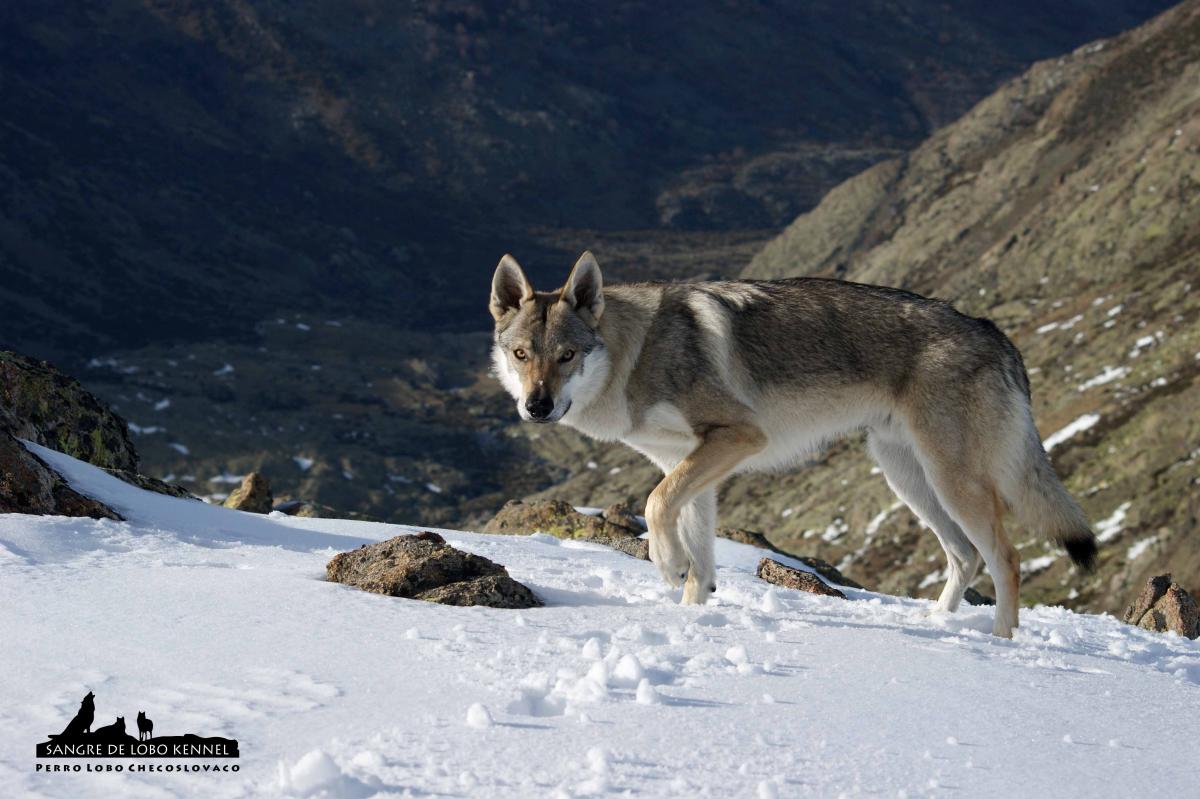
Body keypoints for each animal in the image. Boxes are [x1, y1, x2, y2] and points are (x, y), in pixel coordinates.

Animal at [487, 249, 1099, 633]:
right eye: (522, 355)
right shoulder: (686, 462)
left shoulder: (736, 438)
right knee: (965, 556)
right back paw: (937, 627)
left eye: (567, 355)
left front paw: (667, 566)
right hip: (908, 477)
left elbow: (657, 504)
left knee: (1007, 558)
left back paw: (998, 644)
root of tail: (995, 333)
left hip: (951, 480)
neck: (635, 354)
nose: (537, 407)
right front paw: (692, 614)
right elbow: (700, 557)